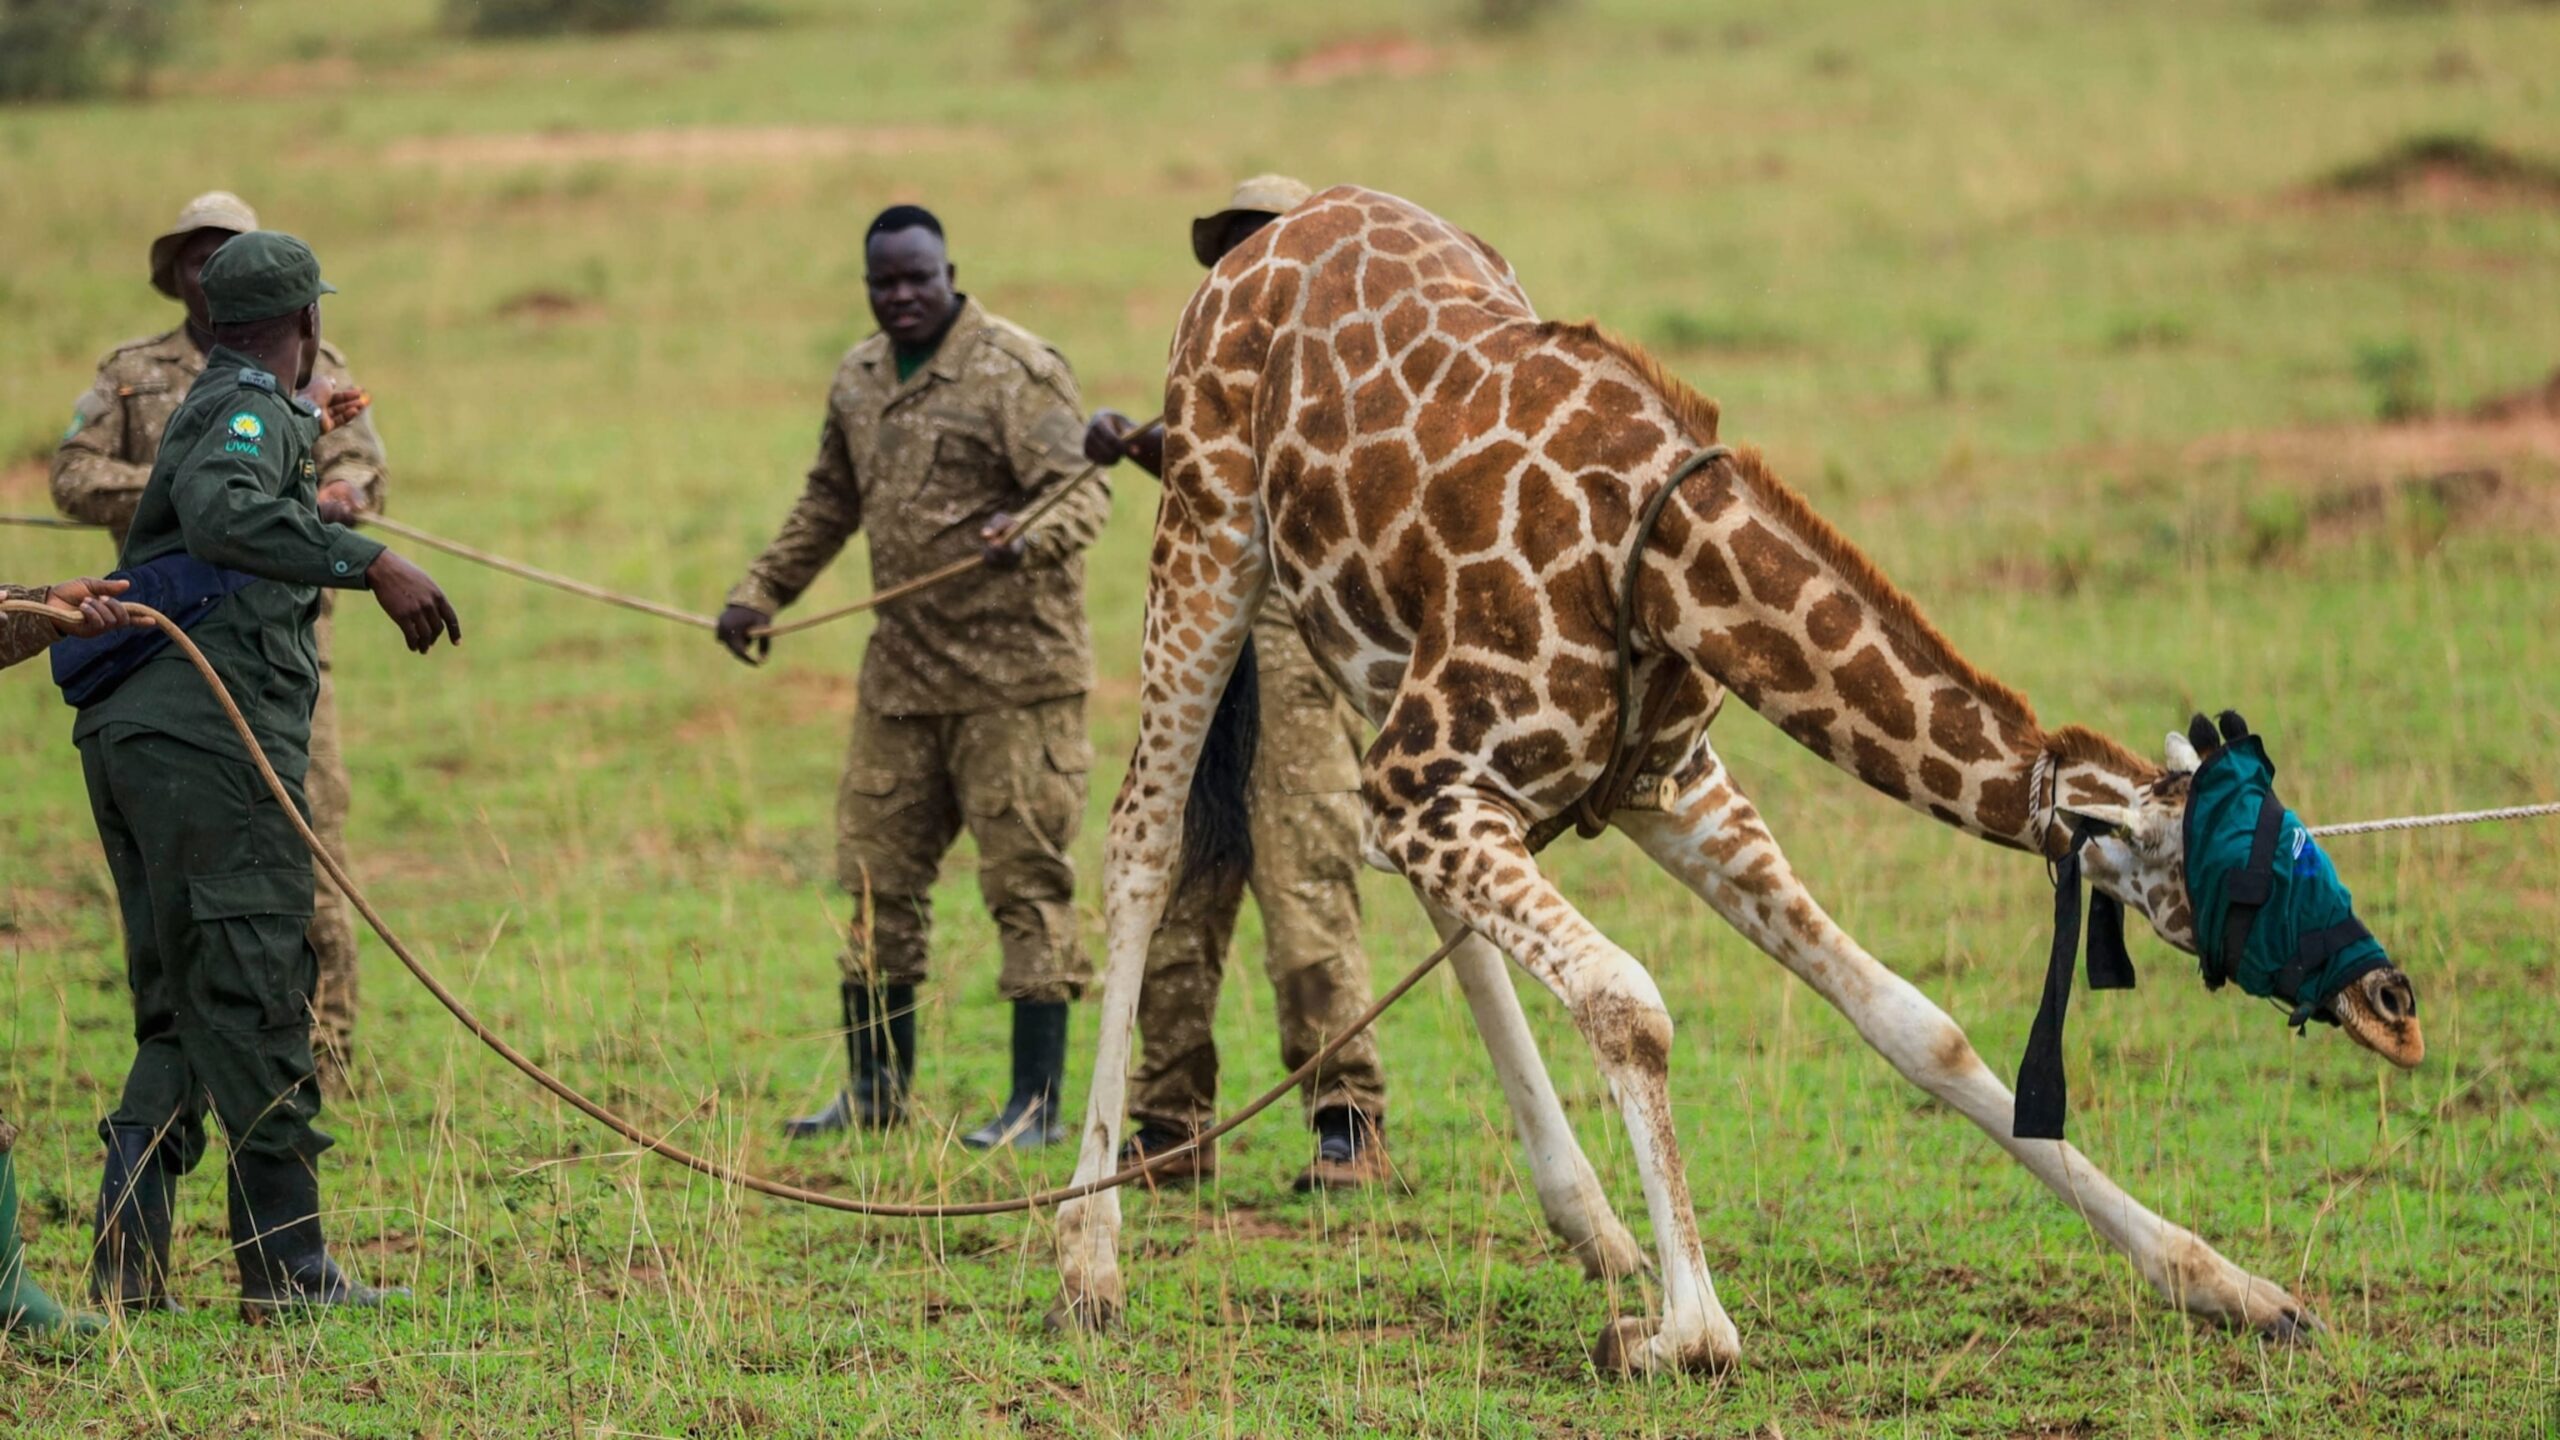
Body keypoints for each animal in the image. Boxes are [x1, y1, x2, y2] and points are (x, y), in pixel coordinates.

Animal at [1053, 186, 2426, 1375]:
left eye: (2303, 833)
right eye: (2252, 874)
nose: (2394, 1007)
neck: (1666, 566)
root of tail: (1262, 229)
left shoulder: (1666, 790)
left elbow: (1915, 1025)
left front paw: (2235, 1289)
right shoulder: (1437, 778)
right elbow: (1628, 1000)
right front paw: (1684, 1331)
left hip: (1363, 649)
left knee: (1412, 886)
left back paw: (1591, 1224)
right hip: (1210, 537)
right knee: (1138, 846)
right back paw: (1087, 1254)